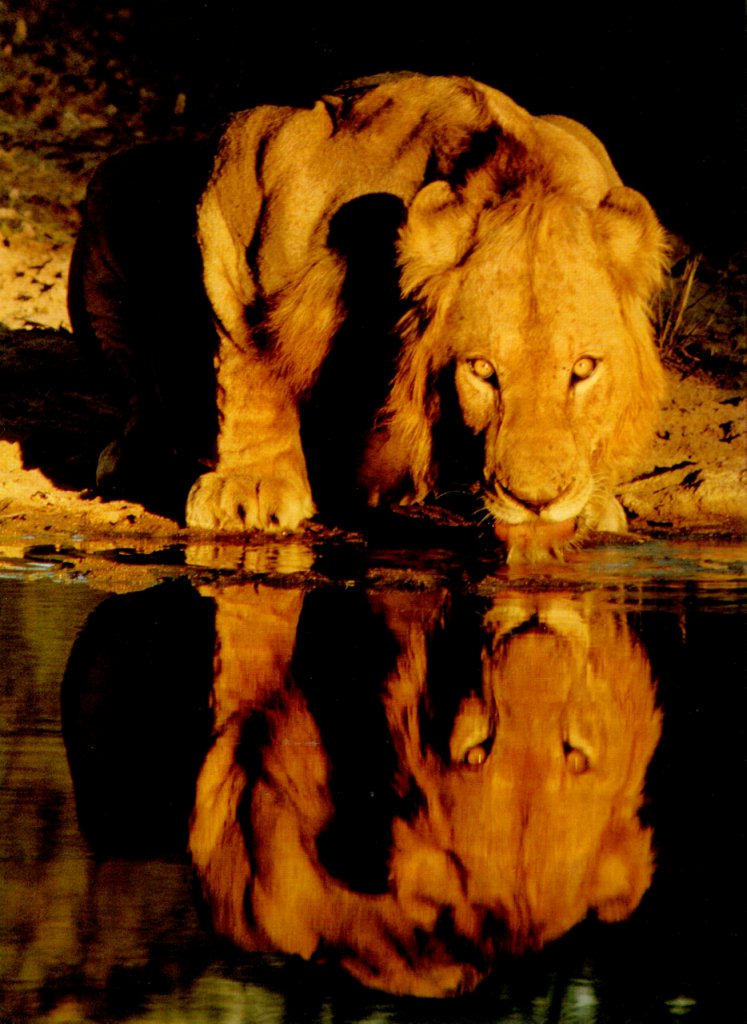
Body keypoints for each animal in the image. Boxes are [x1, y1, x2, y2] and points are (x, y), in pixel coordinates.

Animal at [71, 73, 667, 559]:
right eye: (482, 370)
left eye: (584, 369)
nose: (537, 501)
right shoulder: (250, 165)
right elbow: (249, 353)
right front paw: (249, 490)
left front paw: (593, 503)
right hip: (113, 183)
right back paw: (140, 455)